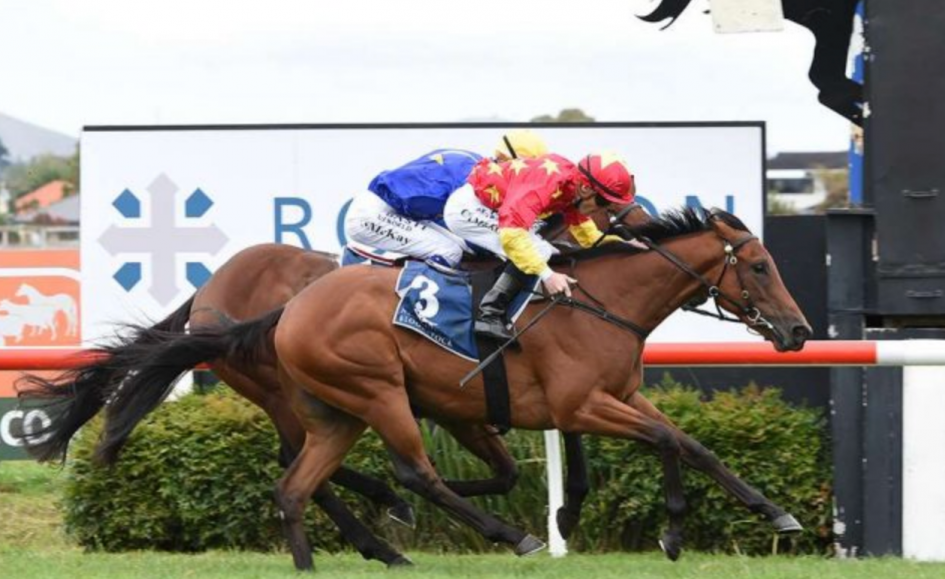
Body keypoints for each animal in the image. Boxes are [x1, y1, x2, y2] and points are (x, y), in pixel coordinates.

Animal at [54, 207, 810, 570]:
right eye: (761, 266)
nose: (798, 331)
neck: (598, 301)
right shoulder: (580, 403)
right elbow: (661, 440)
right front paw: (668, 528)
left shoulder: (608, 396)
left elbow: (687, 442)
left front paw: (769, 512)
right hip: (366, 390)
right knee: (405, 471)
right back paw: (470, 528)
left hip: (336, 408)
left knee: (303, 477)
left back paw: (378, 540)